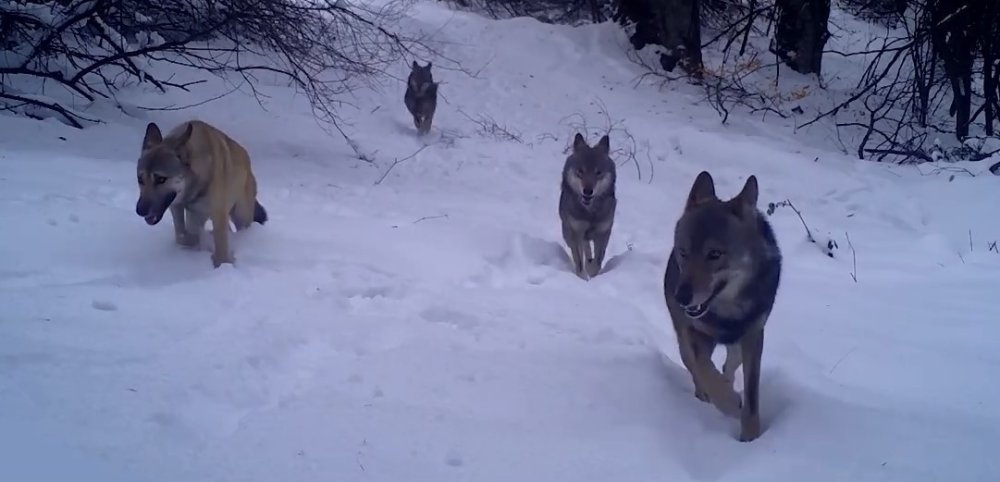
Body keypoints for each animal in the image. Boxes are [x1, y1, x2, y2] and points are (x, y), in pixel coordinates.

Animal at [138, 117, 270, 268]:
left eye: (160, 179)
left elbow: (220, 251)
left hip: (241, 215)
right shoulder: (177, 207)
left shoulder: (218, 213)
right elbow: (182, 236)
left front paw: (223, 264)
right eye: (140, 179)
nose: (140, 210)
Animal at [556, 134, 616, 280]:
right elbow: (579, 260)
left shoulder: (603, 232)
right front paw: (582, 277)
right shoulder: (574, 232)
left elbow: (597, 261)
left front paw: (592, 273)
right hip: (568, 233)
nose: (588, 191)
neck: (590, 213)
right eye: (580, 171)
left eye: (598, 172)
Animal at [664, 169, 780, 440]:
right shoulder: (694, 335)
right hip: (683, 340)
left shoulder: (754, 336)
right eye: (683, 252)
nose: (680, 296)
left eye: (714, 254)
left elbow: (751, 396)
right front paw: (727, 402)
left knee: (729, 364)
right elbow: (705, 370)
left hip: (739, 346)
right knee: (697, 368)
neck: (729, 312)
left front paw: (751, 437)